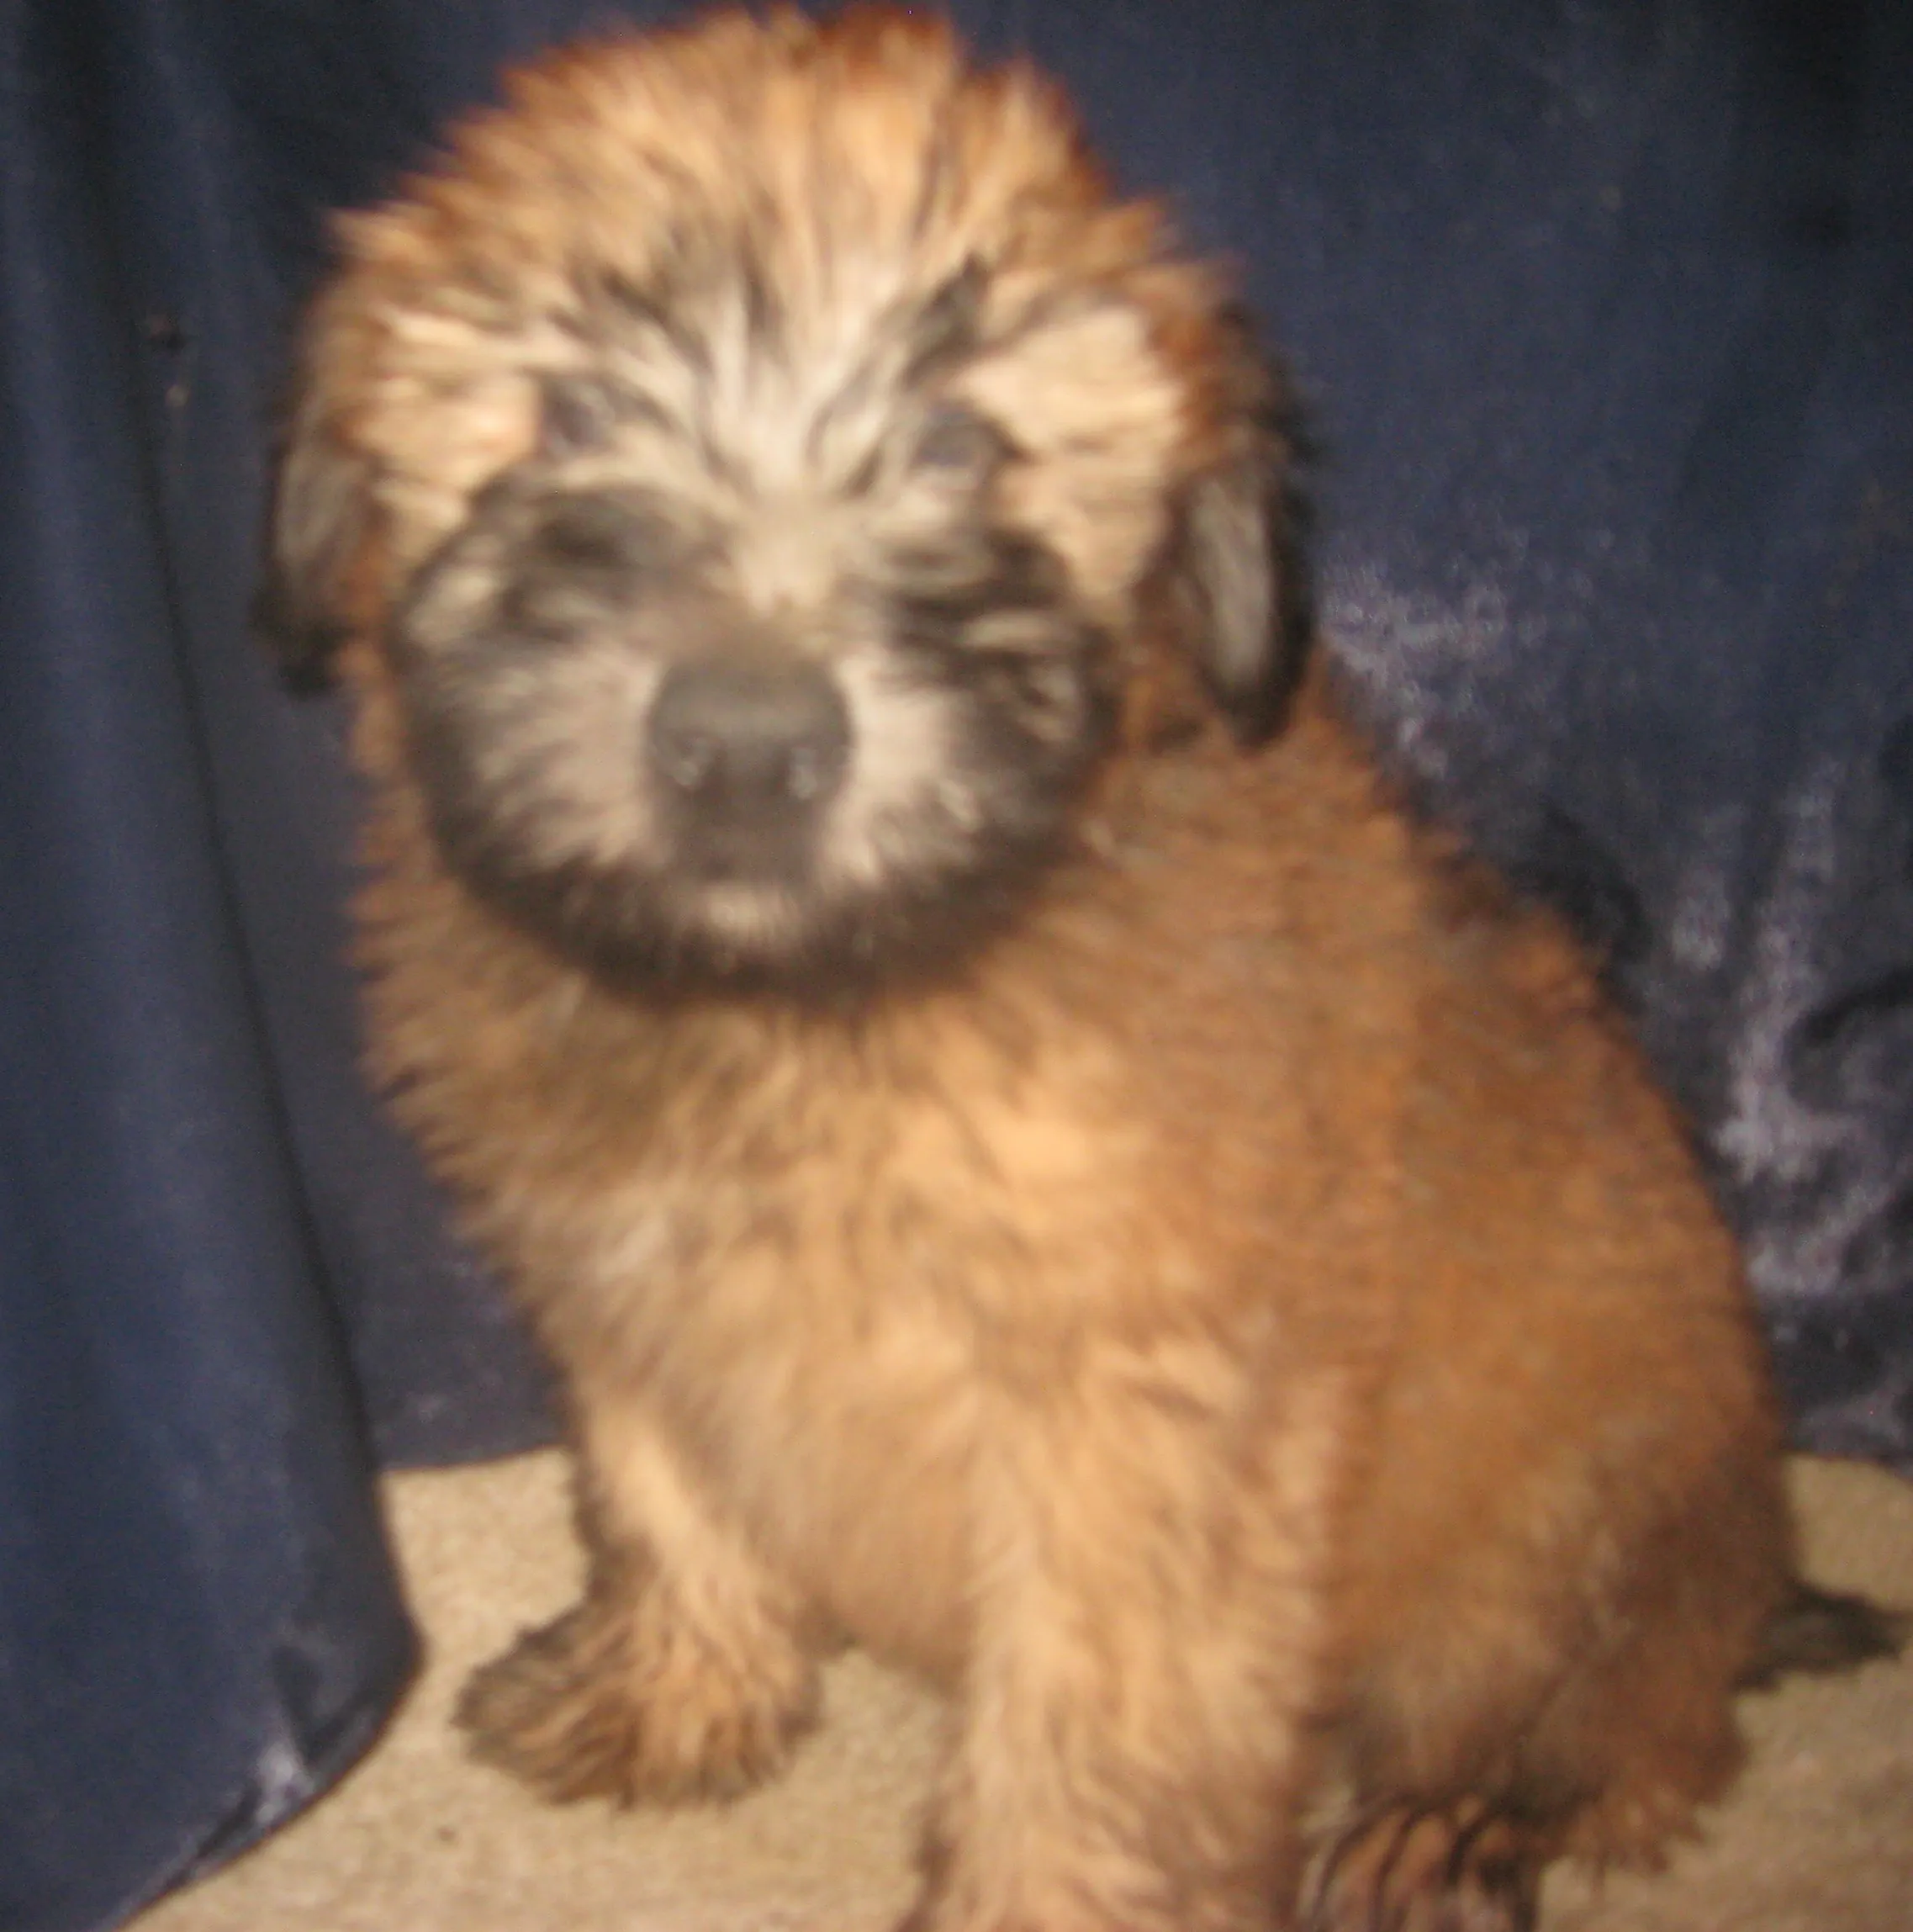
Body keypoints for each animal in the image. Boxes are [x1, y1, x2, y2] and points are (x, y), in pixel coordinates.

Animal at [255, 7, 1885, 1924]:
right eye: (569, 411)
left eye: (965, 446)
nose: (744, 746)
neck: (810, 1009)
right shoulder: (632, 1297)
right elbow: (668, 1494)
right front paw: (677, 1688)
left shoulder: (1138, 1409)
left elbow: (1087, 1727)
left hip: (1585, 1521)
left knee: (1617, 1727)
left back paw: (1456, 1815)